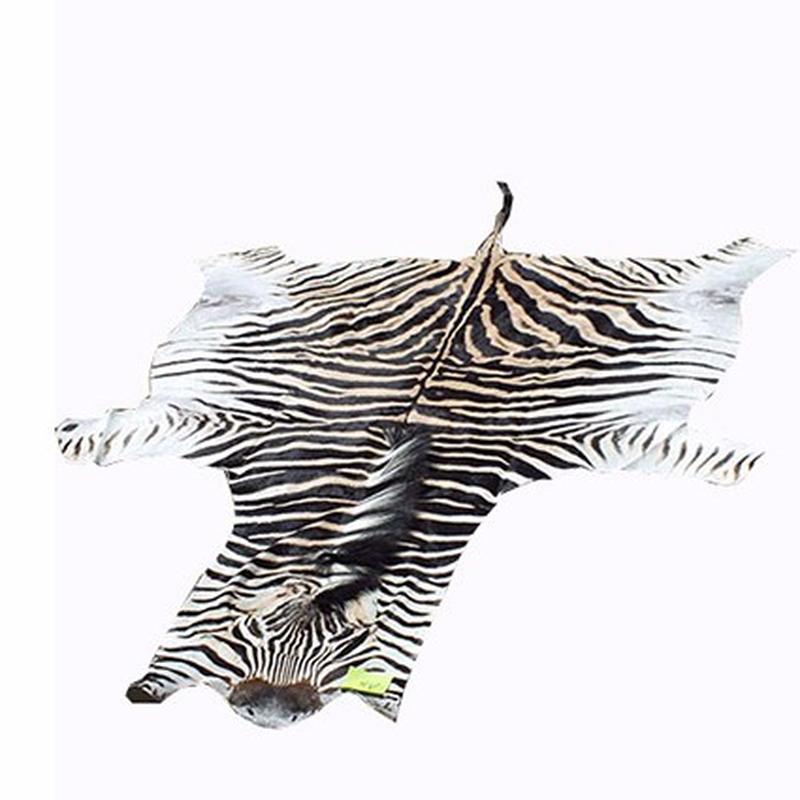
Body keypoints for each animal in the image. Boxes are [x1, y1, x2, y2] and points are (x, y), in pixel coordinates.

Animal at [56, 184, 792, 728]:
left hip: (674, 286)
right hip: (277, 282)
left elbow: (708, 457)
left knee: (733, 258)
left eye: (349, 645)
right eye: (254, 629)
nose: (269, 711)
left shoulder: (577, 440)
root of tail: (487, 259)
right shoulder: (237, 428)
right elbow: (97, 444)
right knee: (249, 255)